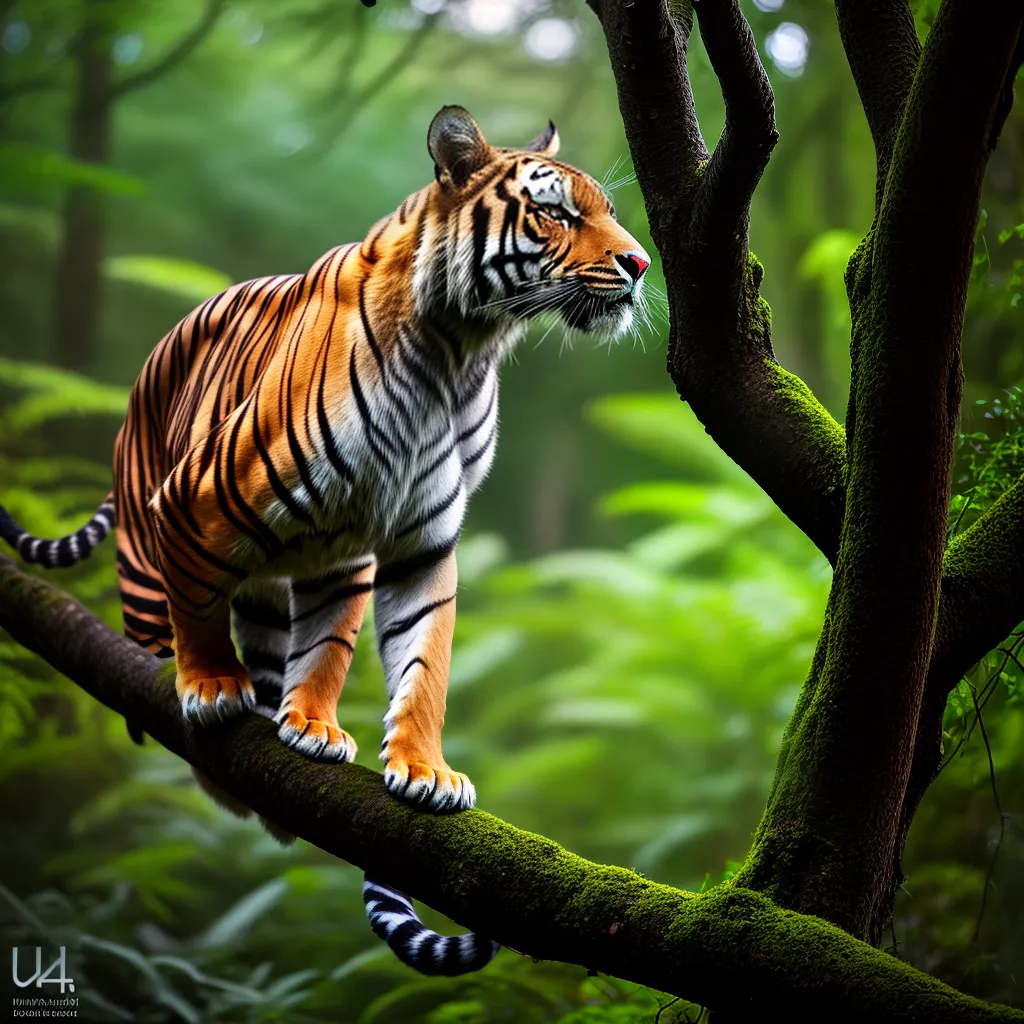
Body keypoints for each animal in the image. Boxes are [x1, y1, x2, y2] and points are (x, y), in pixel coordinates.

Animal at [0, 106, 650, 974]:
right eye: (557, 213)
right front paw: (213, 685)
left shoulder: (408, 544)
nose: (640, 263)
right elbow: (199, 617)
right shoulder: (195, 503)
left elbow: (403, 658)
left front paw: (403, 761)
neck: (461, 350)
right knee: (166, 638)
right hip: (150, 558)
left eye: (605, 209)